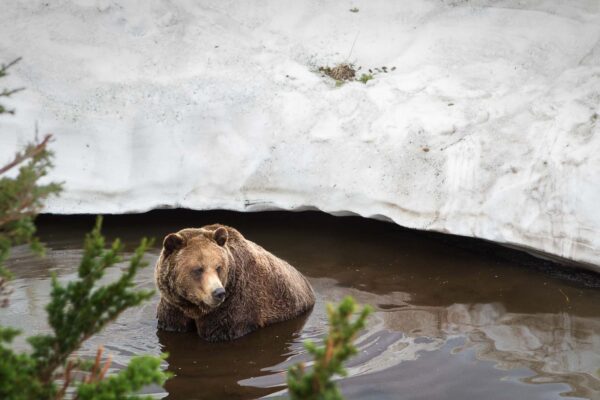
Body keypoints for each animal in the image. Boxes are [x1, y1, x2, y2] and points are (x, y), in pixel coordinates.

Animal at [154, 223, 314, 340]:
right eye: (198, 269)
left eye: (218, 267)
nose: (218, 292)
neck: (193, 307)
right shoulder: (173, 306)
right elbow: (172, 324)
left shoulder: (233, 307)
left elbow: (221, 331)